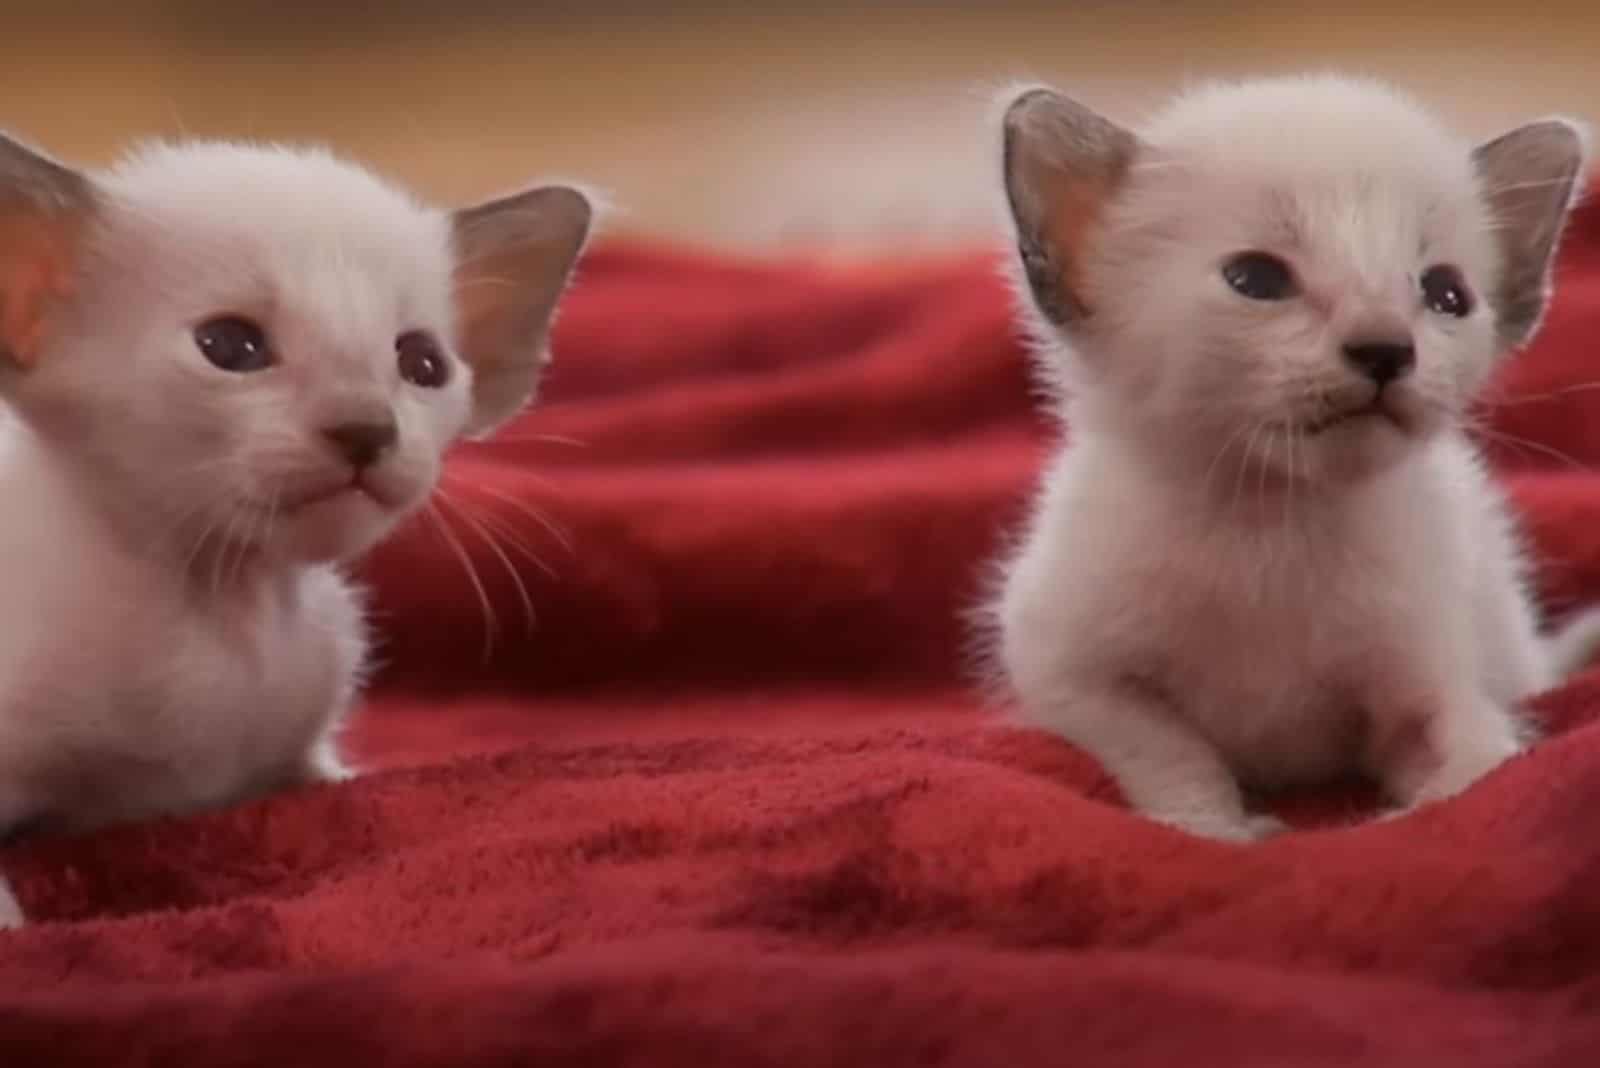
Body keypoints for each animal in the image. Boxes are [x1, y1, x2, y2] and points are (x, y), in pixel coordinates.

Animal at [0, 131, 592, 927]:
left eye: (422, 363)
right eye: (230, 347)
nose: (368, 430)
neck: (222, 606)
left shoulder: (299, 753)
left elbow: (337, 782)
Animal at [985, 73, 1600, 844]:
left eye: (1446, 294)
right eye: (1256, 279)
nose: (1386, 349)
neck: (1273, 519)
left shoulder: (1433, 667)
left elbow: (1479, 760)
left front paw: (1409, 815)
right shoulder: (1062, 668)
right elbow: (1167, 747)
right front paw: (1215, 829)